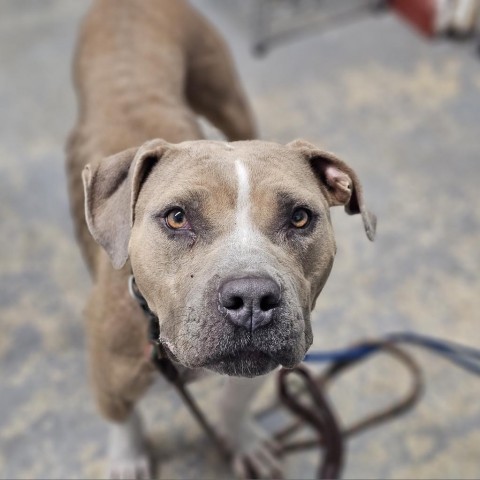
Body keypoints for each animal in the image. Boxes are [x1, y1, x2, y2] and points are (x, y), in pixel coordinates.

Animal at [65, 1, 376, 478]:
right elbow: (122, 417)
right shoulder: (107, 369)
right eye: (176, 218)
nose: (251, 299)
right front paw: (128, 457)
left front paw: (243, 439)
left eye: (300, 218)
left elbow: (235, 399)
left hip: (228, 98)